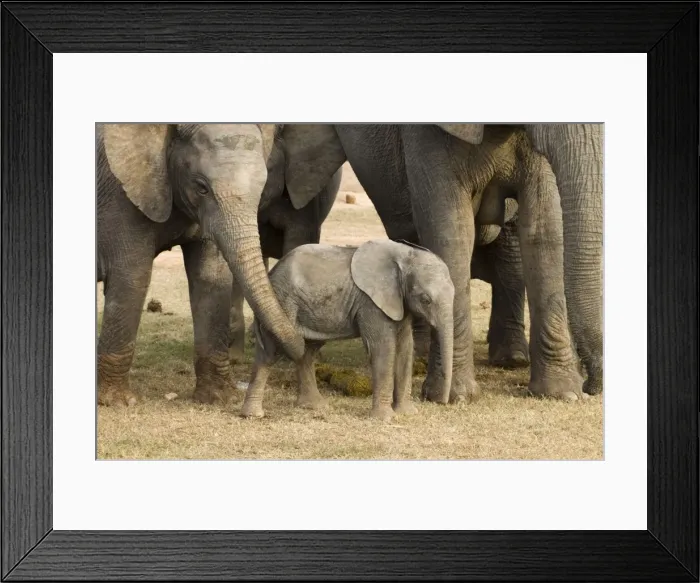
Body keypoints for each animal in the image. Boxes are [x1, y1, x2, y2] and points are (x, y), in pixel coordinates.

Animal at [97, 123, 311, 406]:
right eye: (201, 187)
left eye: (263, 188)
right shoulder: (122, 194)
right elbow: (133, 276)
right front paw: (119, 402)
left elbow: (211, 276)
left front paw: (219, 398)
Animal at [240, 240, 455, 421]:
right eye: (425, 300)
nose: (442, 401)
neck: (405, 254)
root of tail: (272, 273)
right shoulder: (370, 302)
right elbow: (383, 348)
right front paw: (384, 419)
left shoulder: (399, 302)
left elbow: (405, 347)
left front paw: (407, 413)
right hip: (283, 300)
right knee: (271, 351)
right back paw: (253, 415)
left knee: (307, 352)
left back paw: (314, 406)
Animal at [278, 123, 602, 402]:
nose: (592, 386)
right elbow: (450, 230)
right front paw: (452, 397)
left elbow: (545, 227)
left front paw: (563, 394)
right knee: (412, 235)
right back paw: (423, 355)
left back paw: (512, 359)